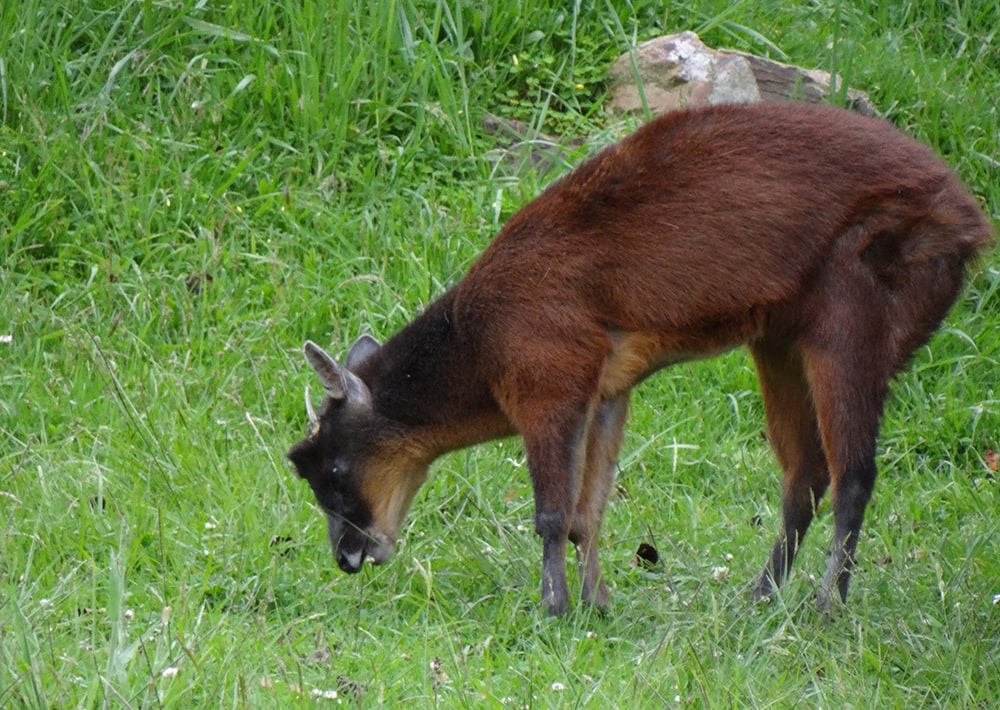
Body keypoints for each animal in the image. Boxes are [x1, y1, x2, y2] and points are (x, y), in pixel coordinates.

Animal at [290, 101, 992, 616]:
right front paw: (597, 605)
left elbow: (552, 515)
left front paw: (552, 610)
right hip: (781, 341)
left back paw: (827, 609)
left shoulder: (547, 383)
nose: (348, 557)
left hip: (853, 315)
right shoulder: (606, 392)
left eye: (331, 470)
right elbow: (587, 515)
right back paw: (760, 599)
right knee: (807, 479)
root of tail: (969, 221)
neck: (476, 342)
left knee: (854, 476)